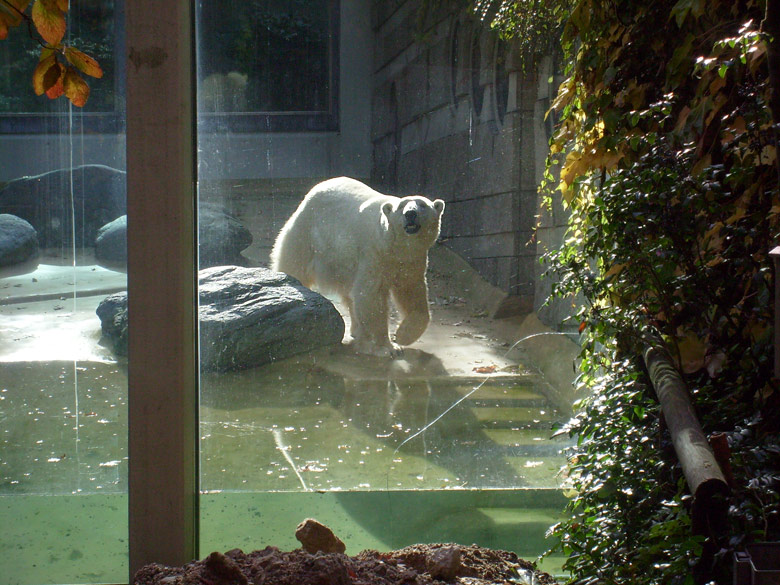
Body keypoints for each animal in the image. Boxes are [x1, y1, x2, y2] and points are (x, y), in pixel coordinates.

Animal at [272, 176, 444, 356]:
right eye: (401, 206)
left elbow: (411, 291)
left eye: (423, 205)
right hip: (308, 235)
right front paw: (388, 347)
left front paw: (402, 336)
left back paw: (356, 328)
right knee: (295, 265)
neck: (394, 247)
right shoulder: (375, 253)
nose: (410, 214)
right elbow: (371, 295)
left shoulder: (411, 260)